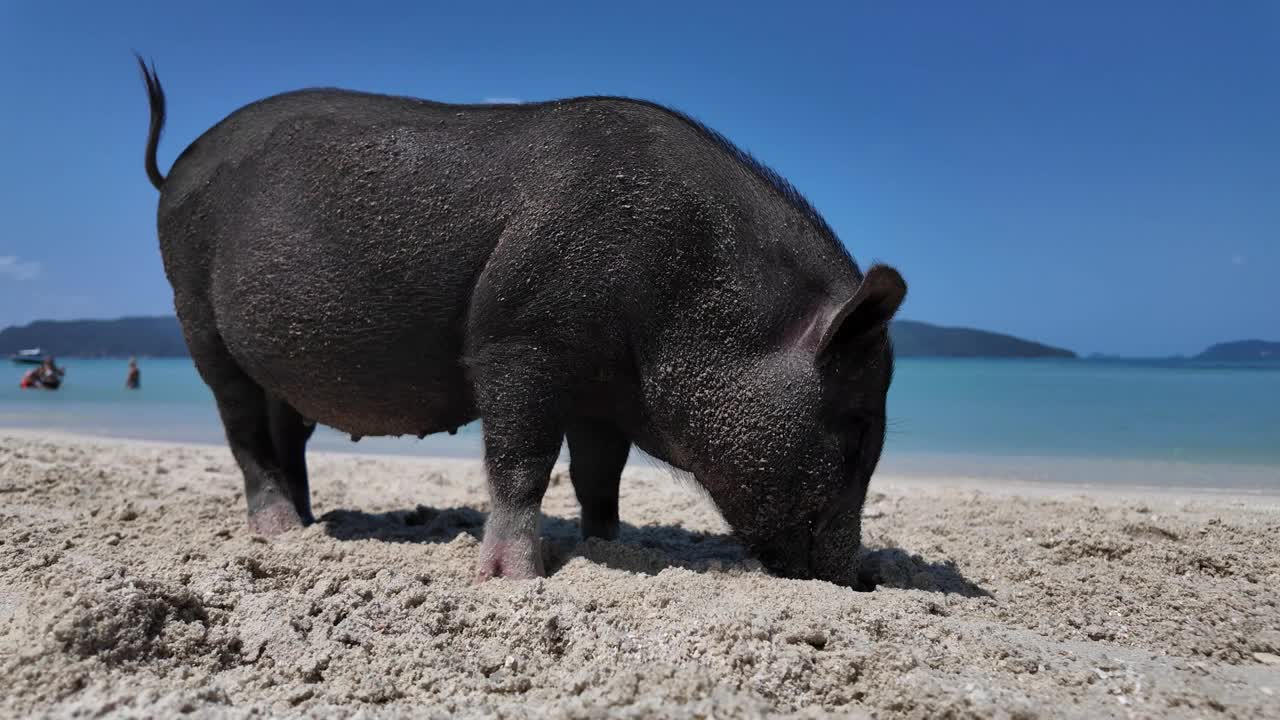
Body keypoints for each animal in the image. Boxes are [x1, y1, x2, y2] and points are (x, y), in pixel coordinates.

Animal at [135, 56, 906, 584]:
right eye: (858, 426)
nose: (860, 578)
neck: (683, 282)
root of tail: (175, 165)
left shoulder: (601, 391)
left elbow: (600, 475)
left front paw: (610, 546)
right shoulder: (519, 338)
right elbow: (523, 460)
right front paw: (514, 577)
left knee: (284, 434)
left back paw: (309, 525)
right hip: (195, 314)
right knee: (240, 428)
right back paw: (275, 532)